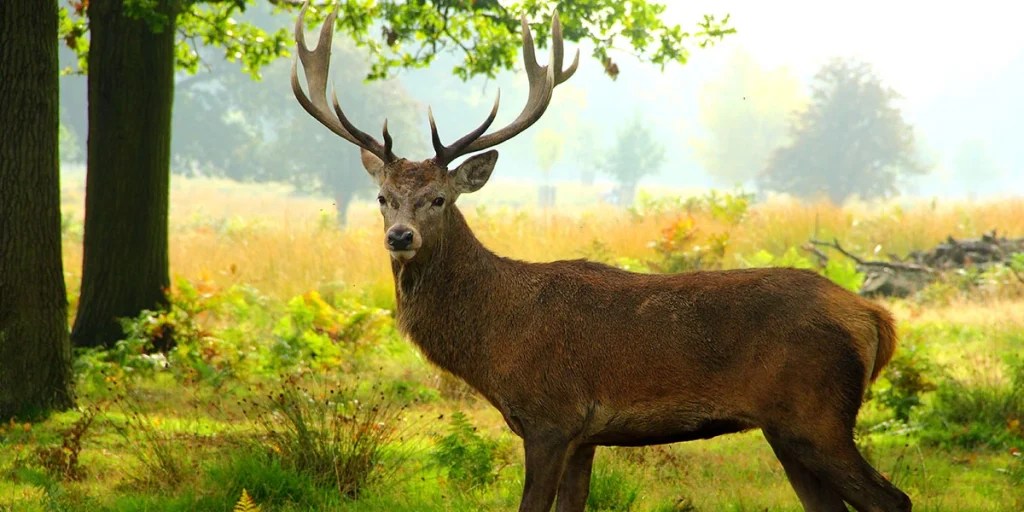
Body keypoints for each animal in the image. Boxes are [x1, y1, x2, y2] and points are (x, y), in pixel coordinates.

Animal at [290, 4, 912, 511]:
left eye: (439, 198)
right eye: (382, 198)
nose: (400, 236)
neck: (493, 341)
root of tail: (875, 317)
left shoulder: (550, 417)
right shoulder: (586, 436)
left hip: (817, 415)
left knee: (894, 499)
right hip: (786, 430)